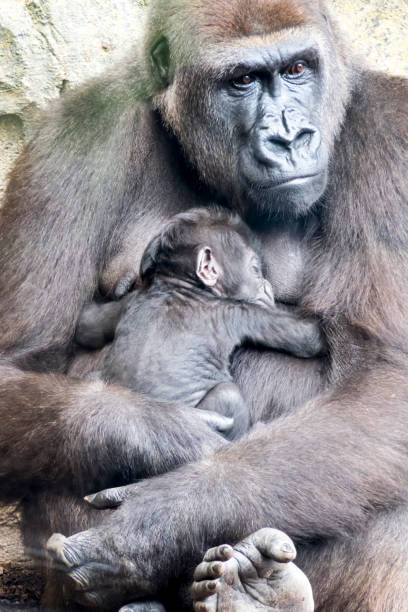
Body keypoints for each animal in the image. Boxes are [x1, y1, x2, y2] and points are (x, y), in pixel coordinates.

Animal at [77, 208, 326, 438]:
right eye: (255, 270)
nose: (267, 286)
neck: (181, 286)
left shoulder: (134, 300)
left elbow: (86, 325)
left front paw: (122, 286)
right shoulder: (237, 311)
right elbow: (308, 337)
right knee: (228, 395)